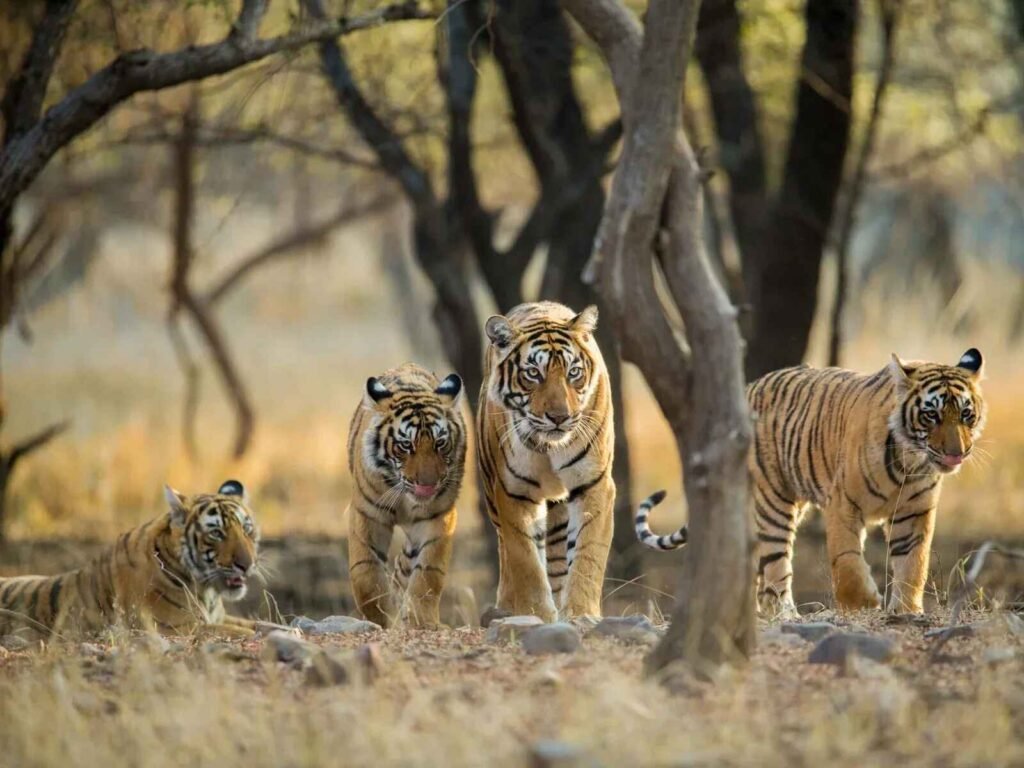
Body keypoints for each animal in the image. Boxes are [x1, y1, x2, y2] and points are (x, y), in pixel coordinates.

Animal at [0, 480, 263, 638]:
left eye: (247, 529)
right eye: (216, 533)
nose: (246, 565)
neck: (207, 591)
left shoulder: (220, 617)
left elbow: (261, 625)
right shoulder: (176, 627)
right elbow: (246, 632)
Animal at [346, 363, 466, 628]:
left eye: (440, 443)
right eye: (405, 445)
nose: (428, 485)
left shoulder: (438, 517)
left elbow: (427, 573)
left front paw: (421, 621)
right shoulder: (367, 514)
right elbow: (366, 574)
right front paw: (380, 618)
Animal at [478, 301, 615, 622]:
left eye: (573, 372)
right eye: (533, 373)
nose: (559, 417)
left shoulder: (594, 484)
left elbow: (588, 554)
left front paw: (580, 613)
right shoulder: (514, 492)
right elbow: (525, 560)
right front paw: (535, 613)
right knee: (506, 551)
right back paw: (505, 607)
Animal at [635, 349, 987, 617]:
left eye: (966, 415)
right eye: (931, 415)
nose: (957, 453)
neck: (910, 461)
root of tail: (748, 387)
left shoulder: (914, 513)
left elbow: (914, 563)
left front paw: (906, 610)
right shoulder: (843, 504)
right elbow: (846, 560)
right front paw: (863, 604)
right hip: (773, 501)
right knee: (775, 565)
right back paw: (784, 614)